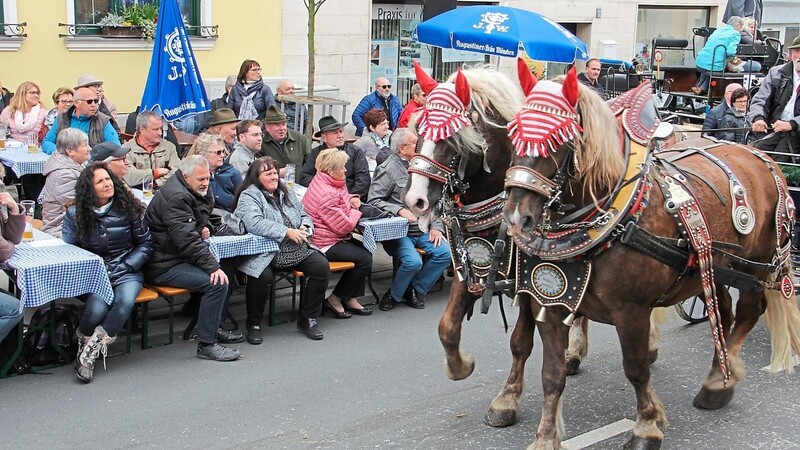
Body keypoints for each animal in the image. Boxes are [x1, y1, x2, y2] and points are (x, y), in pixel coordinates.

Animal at [500, 65, 800, 448]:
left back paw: (719, 383)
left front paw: (646, 425)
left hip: (758, 264)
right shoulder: (551, 305)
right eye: (511, 134)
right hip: (715, 268)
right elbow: (551, 375)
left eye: (558, 139)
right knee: (723, 312)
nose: (516, 217)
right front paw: (545, 436)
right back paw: (719, 369)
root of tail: (759, 155)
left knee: (750, 310)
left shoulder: (632, 312)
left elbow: (636, 369)